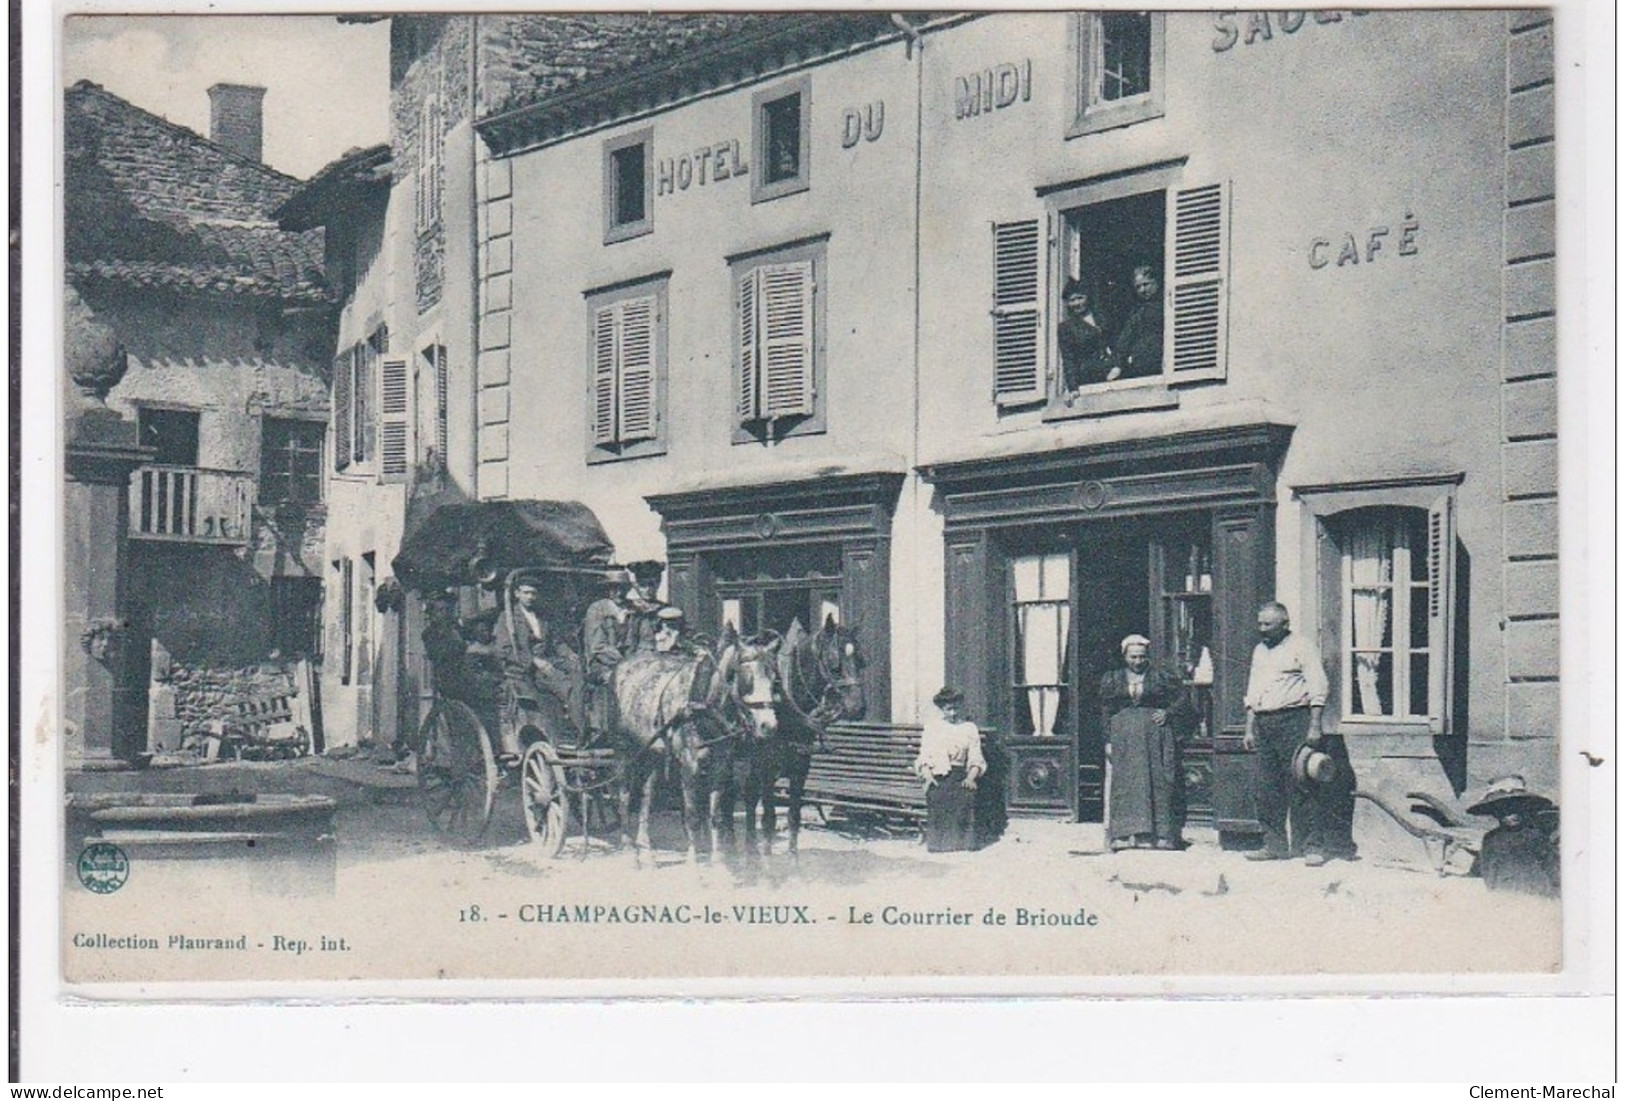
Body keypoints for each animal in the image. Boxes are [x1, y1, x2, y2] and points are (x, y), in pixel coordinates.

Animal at [728, 617, 871, 857]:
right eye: (835, 663)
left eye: (860, 661)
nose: (857, 707)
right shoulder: (767, 770)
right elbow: (769, 820)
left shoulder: (799, 770)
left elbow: (794, 818)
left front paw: (793, 861)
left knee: (749, 795)